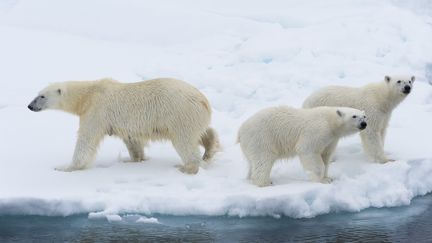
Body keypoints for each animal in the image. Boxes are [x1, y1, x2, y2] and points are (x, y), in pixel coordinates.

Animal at [27, 77, 219, 174]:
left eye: (42, 96)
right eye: (37, 94)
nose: (29, 106)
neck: (88, 95)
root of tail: (203, 100)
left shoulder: (97, 111)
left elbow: (86, 140)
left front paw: (65, 167)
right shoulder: (126, 126)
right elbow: (132, 141)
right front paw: (133, 159)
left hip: (179, 114)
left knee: (184, 141)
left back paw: (186, 167)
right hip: (193, 116)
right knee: (204, 132)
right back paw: (209, 150)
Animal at [238, 106, 366, 186]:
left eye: (364, 116)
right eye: (354, 116)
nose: (364, 124)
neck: (329, 120)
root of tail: (241, 130)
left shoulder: (331, 139)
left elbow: (325, 155)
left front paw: (328, 178)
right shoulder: (318, 130)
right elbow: (308, 150)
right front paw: (320, 180)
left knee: (253, 162)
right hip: (262, 138)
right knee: (263, 160)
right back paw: (265, 183)